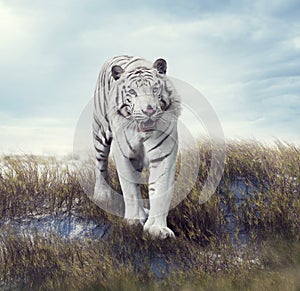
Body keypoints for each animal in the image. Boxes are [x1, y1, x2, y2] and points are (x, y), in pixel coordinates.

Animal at [91, 55, 180, 240]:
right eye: (132, 92)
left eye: (155, 89)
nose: (149, 111)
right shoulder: (125, 155)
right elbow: (130, 189)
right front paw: (133, 221)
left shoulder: (164, 154)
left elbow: (160, 190)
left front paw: (157, 229)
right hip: (100, 131)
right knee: (100, 163)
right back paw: (102, 194)